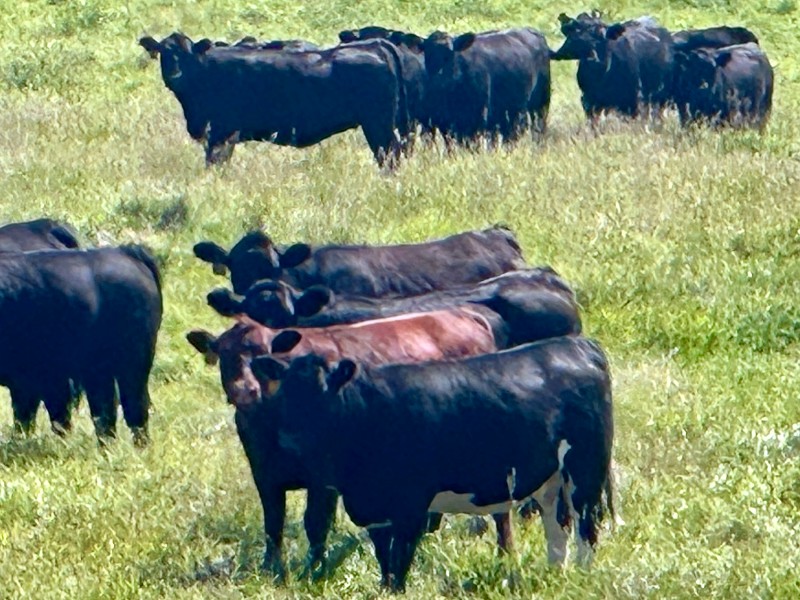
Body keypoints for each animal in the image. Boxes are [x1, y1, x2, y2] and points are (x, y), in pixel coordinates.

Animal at [138, 32, 408, 168]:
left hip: (377, 125)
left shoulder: (222, 132)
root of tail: (374, 45)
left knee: (390, 154)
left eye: (187, 54)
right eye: (163, 53)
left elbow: (216, 163)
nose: (175, 75)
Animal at [186, 308, 504, 579]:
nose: (244, 390)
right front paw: (271, 568)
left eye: (262, 354)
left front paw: (313, 569)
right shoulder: (264, 472)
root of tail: (464, 314)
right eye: (223, 355)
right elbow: (273, 523)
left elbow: (315, 523)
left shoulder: (323, 479)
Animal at [251, 335, 615, 591]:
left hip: (586, 467)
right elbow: (385, 564)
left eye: (322, 391)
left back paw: (583, 575)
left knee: (586, 524)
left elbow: (399, 564)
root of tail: (577, 344)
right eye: (285, 392)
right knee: (558, 524)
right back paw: (556, 574)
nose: (291, 437)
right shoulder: (375, 512)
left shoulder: (411, 506)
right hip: (550, 478)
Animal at [421, 28, 551, 144]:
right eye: (428, 54)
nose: (438, 76)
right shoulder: (442, 119)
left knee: (538, 126)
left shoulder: (478, 114)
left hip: (541, 100)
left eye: (450, 53)